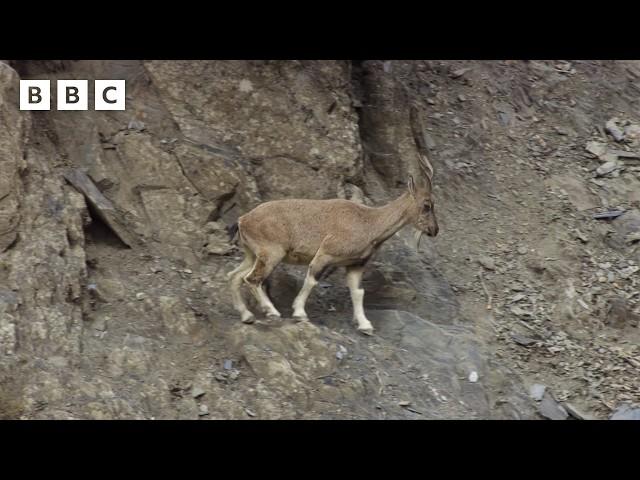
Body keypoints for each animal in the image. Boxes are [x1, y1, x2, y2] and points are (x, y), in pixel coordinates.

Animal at [228, 153, 438, 334]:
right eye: (427, 205)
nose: (434, 230)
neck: (369, 222)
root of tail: (242, 220)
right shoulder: (326, 254)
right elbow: (312, 279)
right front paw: (299, 313)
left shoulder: (355, 265)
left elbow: (358, 292)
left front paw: (365, 325)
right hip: (272, 253)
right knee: (252, 279)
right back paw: (271, 311)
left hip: (253, 254)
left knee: (235, 276)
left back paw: (247, 315)